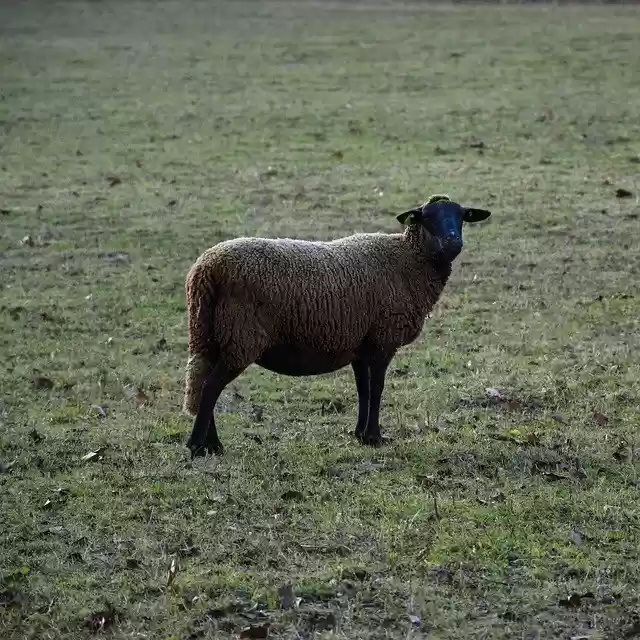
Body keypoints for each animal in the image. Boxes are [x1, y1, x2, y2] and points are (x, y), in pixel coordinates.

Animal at [183, 194, 491, 457]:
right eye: (427, 218)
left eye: (462, 217)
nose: (453, 242)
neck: (408, 260)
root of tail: (205, 269)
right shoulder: (383, 340)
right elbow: (377, 388)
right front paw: (375, 437)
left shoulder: (361, 345)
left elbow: (363, 389)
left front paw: (360, 434)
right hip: (241, 337)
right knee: (209, 387)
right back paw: (199, 446)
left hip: (208, 333)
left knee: (201, 384)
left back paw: (211, 444)